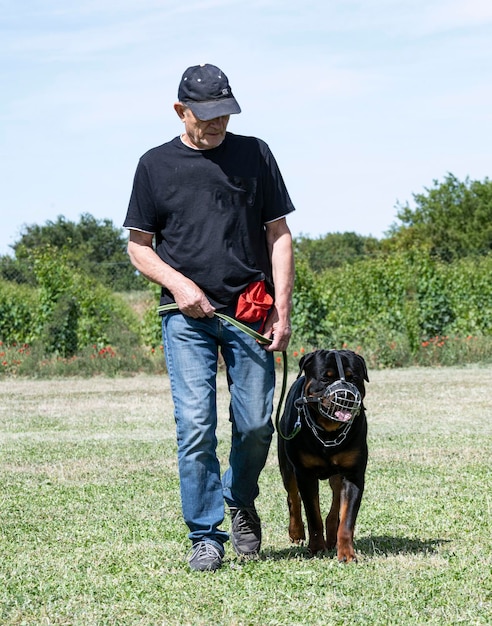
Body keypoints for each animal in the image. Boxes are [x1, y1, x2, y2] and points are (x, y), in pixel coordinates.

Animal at [278, 346, 368, 560]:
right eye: (325, 379)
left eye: (353, 378)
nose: (345, 394)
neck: (328, 432)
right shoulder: (305, 474)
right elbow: (313, 515)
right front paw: (317, 548)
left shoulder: (353, 474)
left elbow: (347, 519)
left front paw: (347, 553)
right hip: (286, 467)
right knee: (293, 497)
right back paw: (296, 532)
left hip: (337, 476)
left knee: (335, 505)